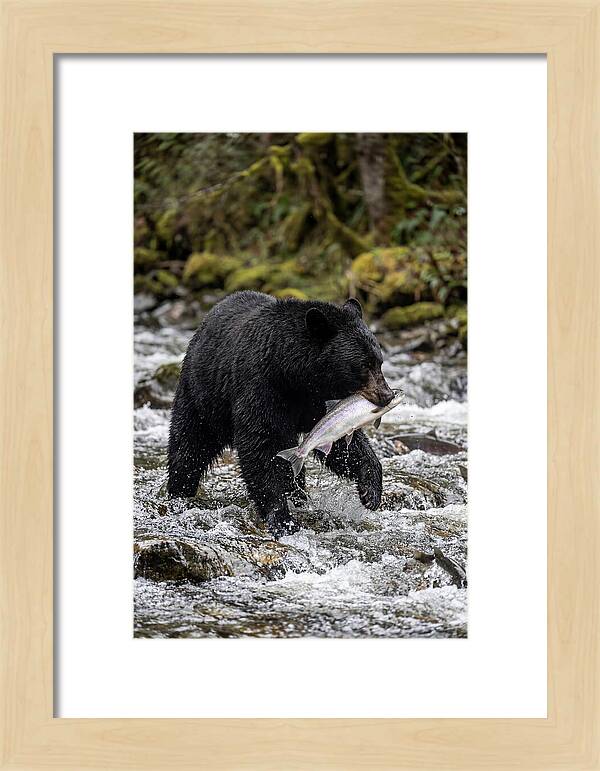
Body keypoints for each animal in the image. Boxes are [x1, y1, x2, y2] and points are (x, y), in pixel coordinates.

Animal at [167, 291, 394, 536]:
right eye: (364, 365)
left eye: (379, 362)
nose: (387, 395)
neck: (293, 374)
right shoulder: (262, 386)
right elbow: (260, 445)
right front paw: (282, 518)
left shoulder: (318, 402)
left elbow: (340, 440)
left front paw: (370, 491)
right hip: (202, 396)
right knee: (188, 446)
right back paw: (179, 493)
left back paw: (299, 496)